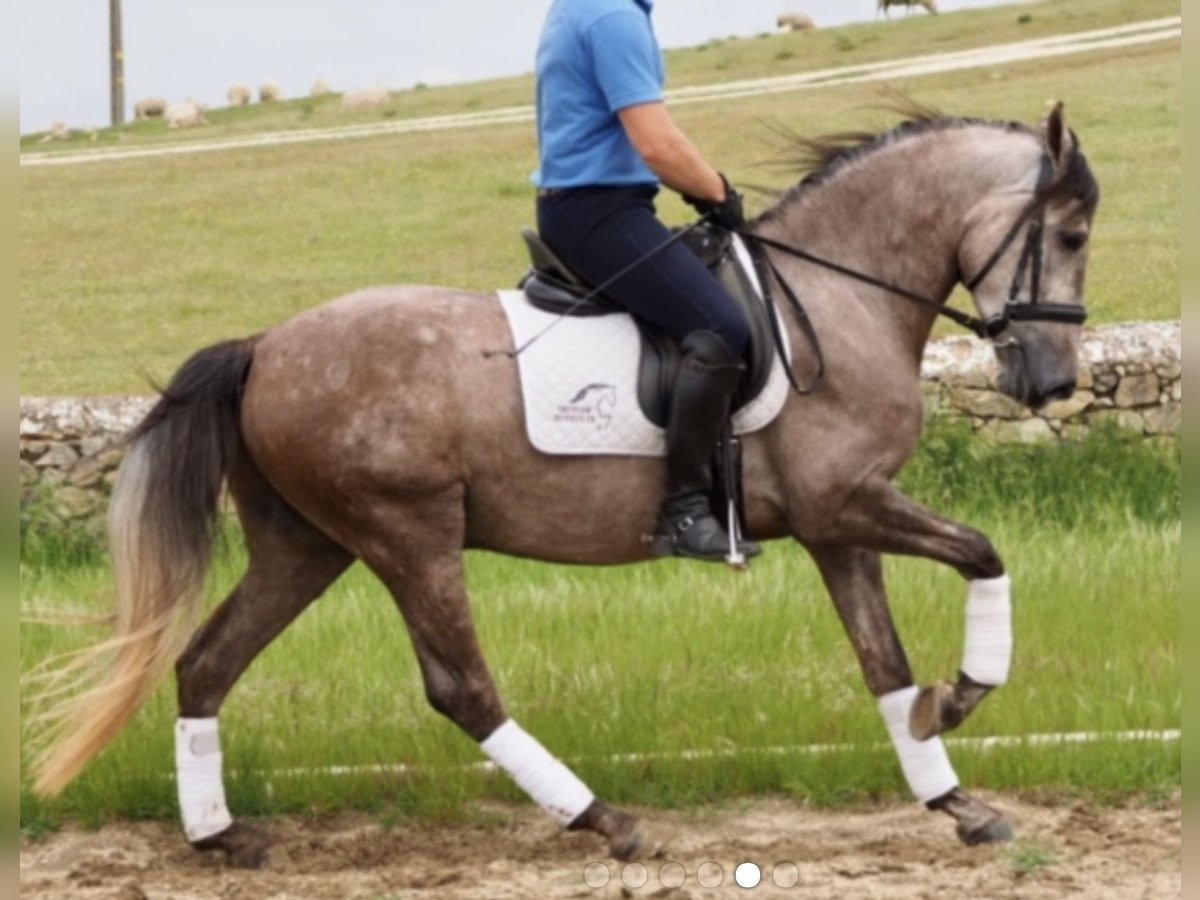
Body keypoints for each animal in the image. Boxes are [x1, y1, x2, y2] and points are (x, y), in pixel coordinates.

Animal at [29, 102, 1099, 868]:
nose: (1051, 385)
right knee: (461, 687)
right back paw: (604, 819)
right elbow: (983, 556)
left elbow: (884, 664)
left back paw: (219, 835)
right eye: (1074, 236)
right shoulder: (850, 505)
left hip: (309, 544)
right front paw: (960, 698)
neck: (839, 297)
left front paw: (955, 798)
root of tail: (264, 348)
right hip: (407, 533)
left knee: (206, 663)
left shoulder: (838, 526)